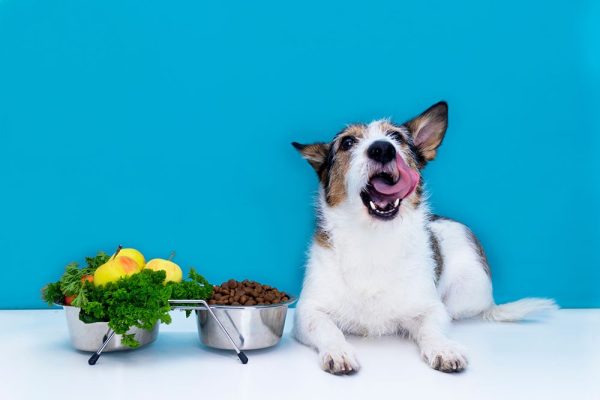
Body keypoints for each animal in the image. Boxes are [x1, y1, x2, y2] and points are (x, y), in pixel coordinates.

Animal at [292, 101, 556, 376]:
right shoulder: (306, 311)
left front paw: (444, 348)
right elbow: (327, 328)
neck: (374, 238)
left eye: (396, 137)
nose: (382, 149)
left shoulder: (431, 308)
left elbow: (432, 328)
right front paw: (338, 351)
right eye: (347, 142)